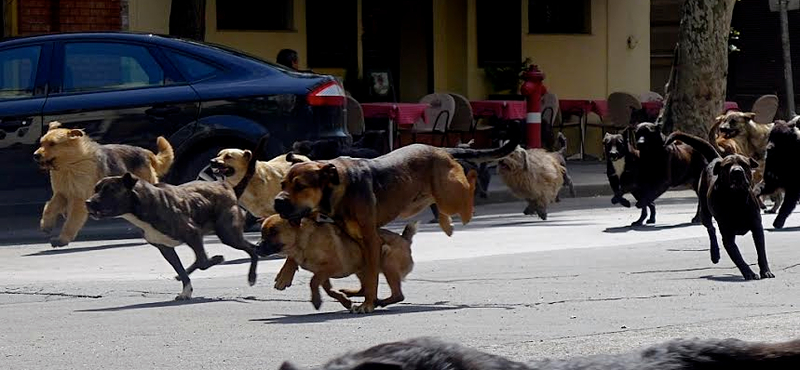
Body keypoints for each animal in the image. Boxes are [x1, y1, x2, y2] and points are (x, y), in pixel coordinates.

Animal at [34, 122, 173, 249]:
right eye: (41, 143)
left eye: (52, 144)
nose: (35, 155)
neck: (71, 163)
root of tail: (145, 152)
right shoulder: (62, 193)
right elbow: (50, 207)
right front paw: (46, 225)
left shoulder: (79, 199)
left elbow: (71, 222)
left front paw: (62, 239)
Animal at [85, 137, 266, 300]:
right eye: (96, 189)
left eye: (110, 190)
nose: (88, 202)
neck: (145, 204)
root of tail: (227, 188)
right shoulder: (165, 248)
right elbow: (182, 267)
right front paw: (186, 288)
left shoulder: (192, 234)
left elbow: (202, 262)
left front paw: (216, 259)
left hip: (228, 234)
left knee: (251, 250)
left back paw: (251, 276)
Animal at [258, 215, 418, 310]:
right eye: (262, 233)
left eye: (273, 232)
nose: (257, 246)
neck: (303, 241)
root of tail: (405, 239)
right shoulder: (322, 274)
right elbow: (327, 289)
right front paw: (343, 301)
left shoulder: (330, 268)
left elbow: (313, 282)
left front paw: (316, 300)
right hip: (362, 269)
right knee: (366, 288)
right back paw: (354, 294)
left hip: (386, 261)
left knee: (398, 295)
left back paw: (380, 302)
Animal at [668, 132, 776, 278]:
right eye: (728, 165)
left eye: (744, 164)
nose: (737, 171)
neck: (736, 198)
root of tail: (715, 159)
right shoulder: (727, 234)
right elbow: (737, 256)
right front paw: (748, 273)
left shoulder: (757, 227)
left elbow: (761, 252)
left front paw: (765, 270)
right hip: (704, 211)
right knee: (711, 229)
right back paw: (715, 254)